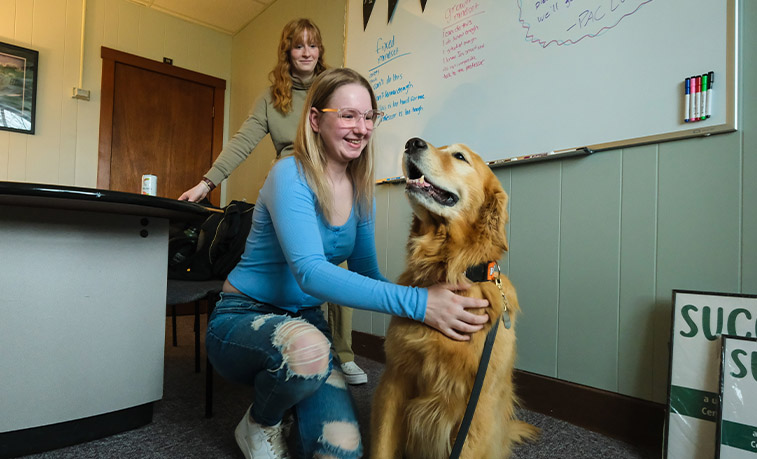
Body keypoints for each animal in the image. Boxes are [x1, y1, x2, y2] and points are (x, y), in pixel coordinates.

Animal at [368, 137, 536, 459]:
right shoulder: (394, 379)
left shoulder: (479, 403)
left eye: (459, 156)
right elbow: (381, 445)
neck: (450, 270)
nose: (412, 143)